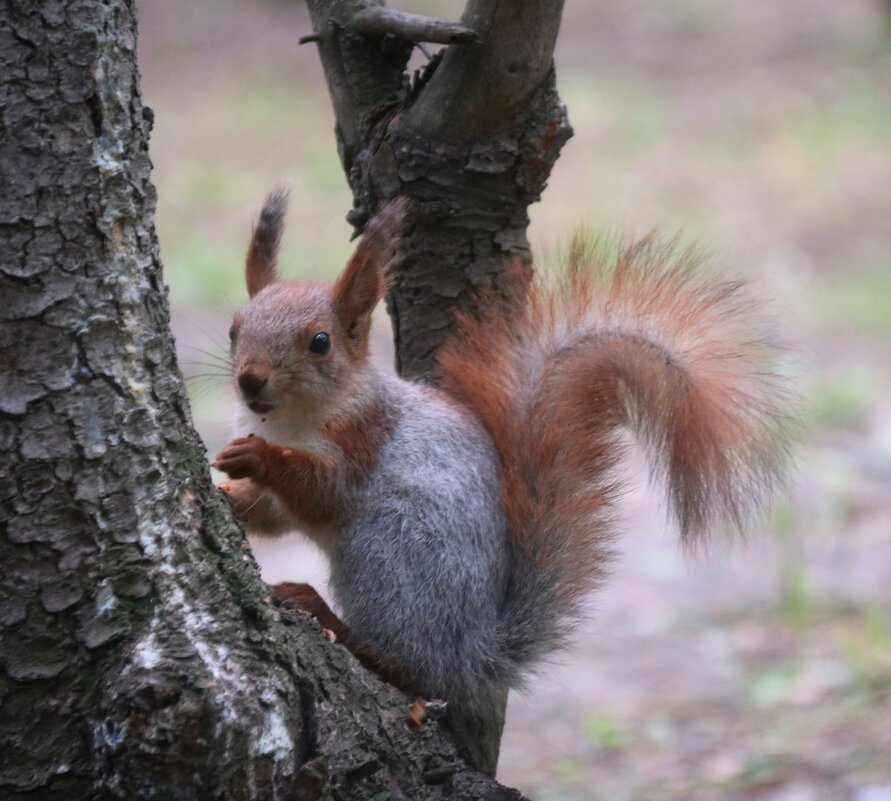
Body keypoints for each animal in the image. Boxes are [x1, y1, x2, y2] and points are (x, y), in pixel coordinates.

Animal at [213, 191, 792, 708]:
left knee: (412, 670)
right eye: (233, 329)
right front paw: (227, 492)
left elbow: (321, 492)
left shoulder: (361, 443)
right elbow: (272, 515)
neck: (286, 422)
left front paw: (258, 458)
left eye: (320, 342)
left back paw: (333, 620)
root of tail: (472, 654)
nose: (249, 381)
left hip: (387, 551)